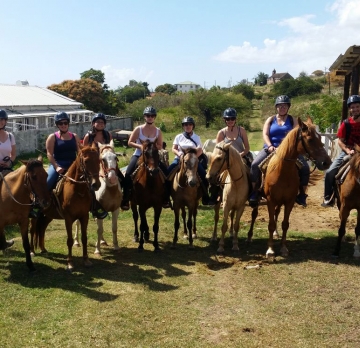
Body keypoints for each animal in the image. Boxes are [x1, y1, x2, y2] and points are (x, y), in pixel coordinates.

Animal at [264, 118, 332, 256]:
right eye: (310, 139)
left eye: (319, 138)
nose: (326, 162)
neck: (282, 171)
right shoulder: (270, 200)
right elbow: (271, 224)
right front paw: (270, 249)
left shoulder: (289, 201)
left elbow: (285, 224)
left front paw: (283, 248)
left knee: (277, 213)